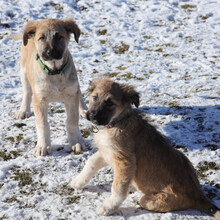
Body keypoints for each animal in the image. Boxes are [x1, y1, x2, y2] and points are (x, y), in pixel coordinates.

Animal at [9, 19, 87, 156]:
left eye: (59, 37)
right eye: (41, 38)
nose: (51, 52)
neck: (54, 71)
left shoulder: (71, 94)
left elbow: (72, 120)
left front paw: (76, 141)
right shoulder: (39, 99)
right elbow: (43, 124)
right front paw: (43, 145)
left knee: (79, 91)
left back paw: (83, 109)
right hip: (24, 72)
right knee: (27, 91)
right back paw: (24, 110)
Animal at [70, 78, 220, 218]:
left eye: (110, 103)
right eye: (94, 97)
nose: (91, 117)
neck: (116, 123)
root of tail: (200, 197)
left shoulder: (125, 162)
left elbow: (118, 188)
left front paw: (108, 207)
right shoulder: (106, 152)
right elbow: (90, 163)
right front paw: (77, 182)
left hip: (155, 199)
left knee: (144, 200)